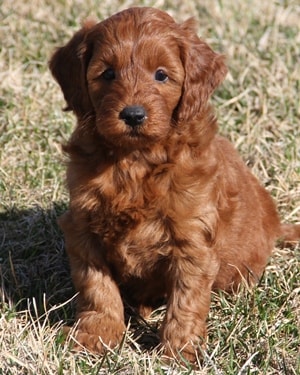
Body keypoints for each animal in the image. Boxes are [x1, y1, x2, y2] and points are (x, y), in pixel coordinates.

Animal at [49, 7, 300, 362]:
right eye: (108, 74)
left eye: (161, 75)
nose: (133, 115)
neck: (135, 161)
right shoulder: (83, 228)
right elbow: (97, 287)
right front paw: (96, 337)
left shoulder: (192, 239)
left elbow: (186, 299)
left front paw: (178, 351)